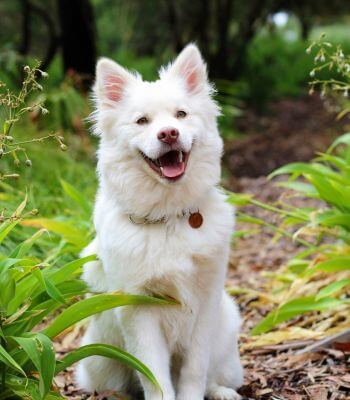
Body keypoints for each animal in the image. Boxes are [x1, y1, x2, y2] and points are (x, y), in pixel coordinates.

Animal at [76, 44, 243, 400]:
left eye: (181, 115)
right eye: (142, 121)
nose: (168, 134)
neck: (169, 217)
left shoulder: (205, 303)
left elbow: (195, 370)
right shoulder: (139, 310)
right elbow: (154, 376)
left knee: (213, 375)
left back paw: (221, 391)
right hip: (99, 358)